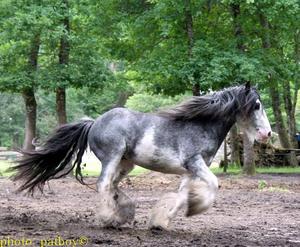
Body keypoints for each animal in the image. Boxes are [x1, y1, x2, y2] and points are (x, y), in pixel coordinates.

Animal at [10, 82, 272, 230]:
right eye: (257, 105)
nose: (267, 133)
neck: (200, 125)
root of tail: (94, 122)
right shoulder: (195, 163)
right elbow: (214, 184)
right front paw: (196, 208)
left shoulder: (190, 170)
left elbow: (181, 196)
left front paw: (160, 222)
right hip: (113, 156)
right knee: (103, 184)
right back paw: (108, 219)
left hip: (126, 163)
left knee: (113, 186)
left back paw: (122, 214)